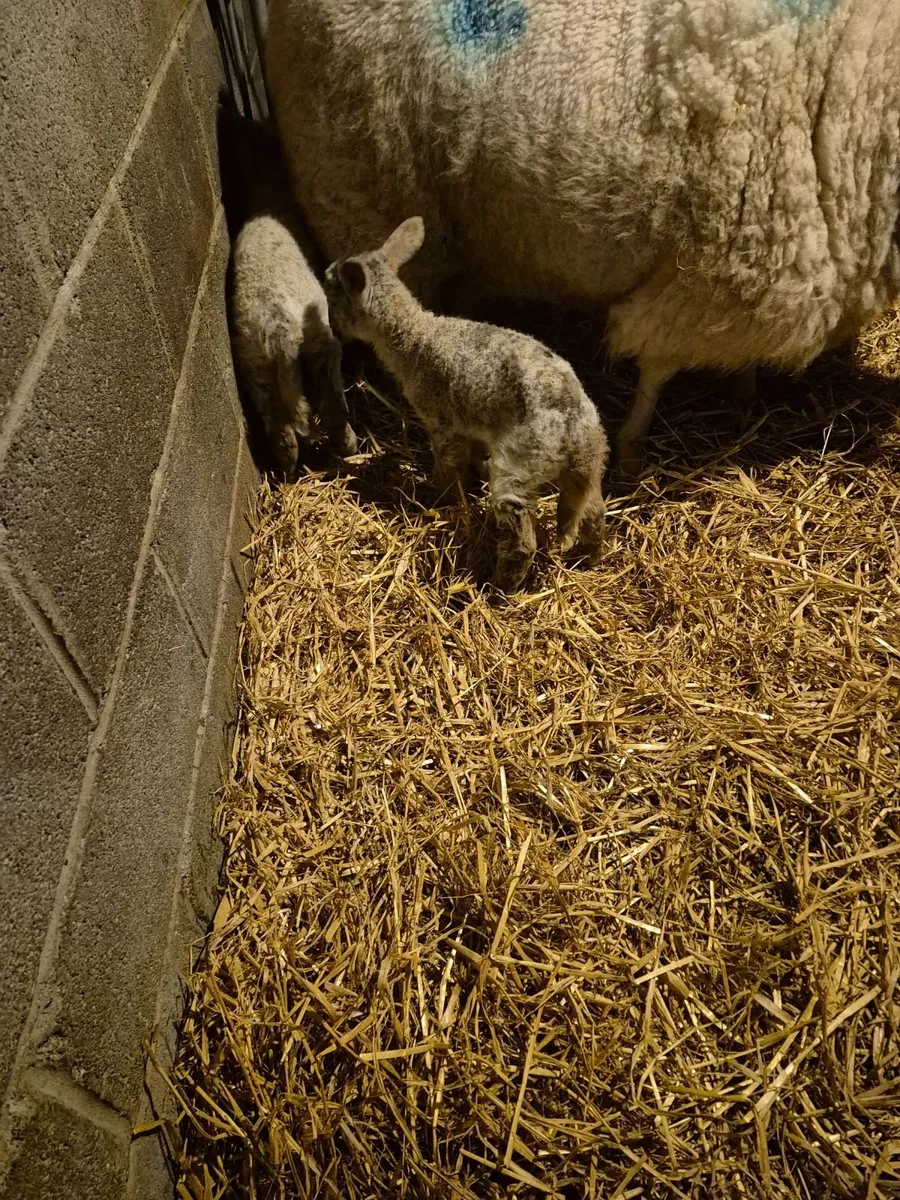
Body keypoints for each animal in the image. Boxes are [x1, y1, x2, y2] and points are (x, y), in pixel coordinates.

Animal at [227, 116, 357, 476]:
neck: (266, 196)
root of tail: (276, 326)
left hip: (254, 363)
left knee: (277, 422)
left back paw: (286, 466)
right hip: (318, 340)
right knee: (330, 400)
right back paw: (349, 445)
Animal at [324, 217, 609, 590]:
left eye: (332, 298)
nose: (334, 331)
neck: (415, 338)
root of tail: (574, 428)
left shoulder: (441, 422)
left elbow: (448, 468)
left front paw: (440, 498)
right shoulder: (472, 422)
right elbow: (474, 455)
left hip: (521, 465)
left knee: (522, 538)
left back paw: (500, 585)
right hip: (591, 463)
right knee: (594, 512)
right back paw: (587, 559)